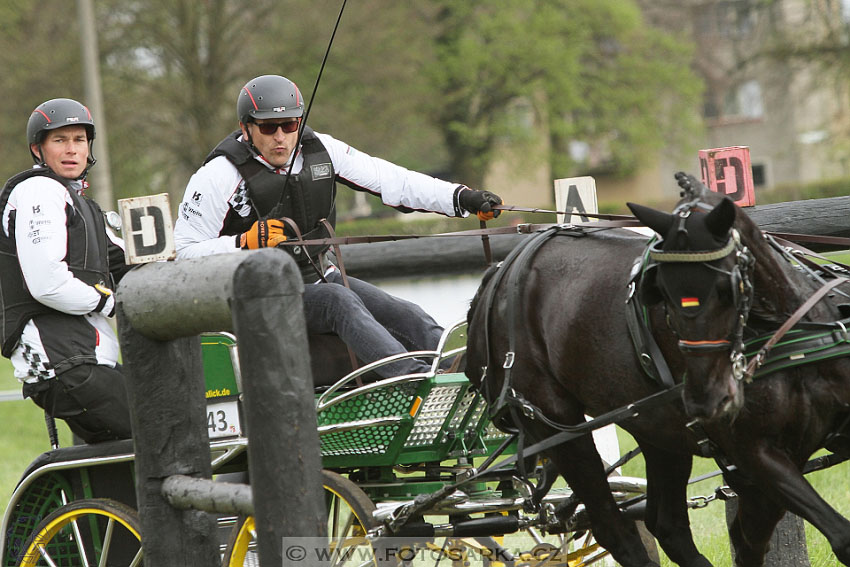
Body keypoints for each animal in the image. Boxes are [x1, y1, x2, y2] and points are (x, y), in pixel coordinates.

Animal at [468, 174, 848, 567]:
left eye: (725, 287)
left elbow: (751, 540)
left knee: (667, 525)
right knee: (614, 528)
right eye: (660, 291)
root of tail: (498, 275)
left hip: (658, 430)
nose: (707, 399)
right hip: (555, 425)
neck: (786, 330)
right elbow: (835, 536)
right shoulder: (753, 454)